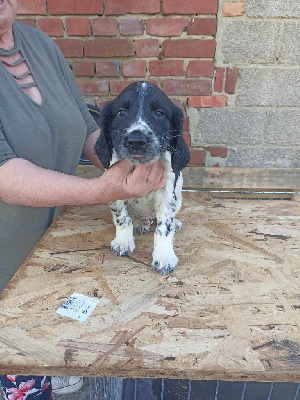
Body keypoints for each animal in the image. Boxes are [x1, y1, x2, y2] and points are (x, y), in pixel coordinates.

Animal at [95, 82, 190, 276]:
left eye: (159, 113)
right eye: (121, 112)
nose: (136, 140)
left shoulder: (168, 194)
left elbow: (164, 227)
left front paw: (164, 256)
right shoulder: (115, 187)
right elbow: (122, 218)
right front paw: (123, 241)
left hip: (179, 197)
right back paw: (141, 223)